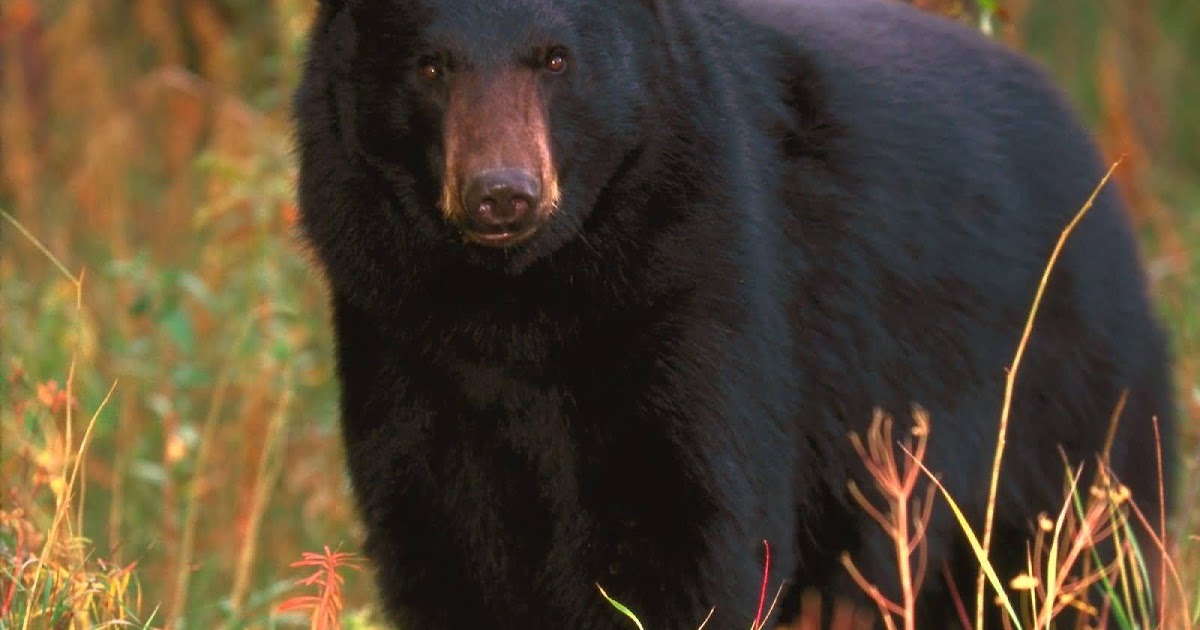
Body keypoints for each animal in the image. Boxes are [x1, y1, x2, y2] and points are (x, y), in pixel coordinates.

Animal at [292, 0, 1177, 628]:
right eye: (430, 66)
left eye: (555, 58)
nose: (501, 193)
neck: (517, 304)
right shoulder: (401, 334)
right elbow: (444, 542)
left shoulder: (697, 281)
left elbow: (687, 526)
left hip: (1060, 406)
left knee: (1084, 560)